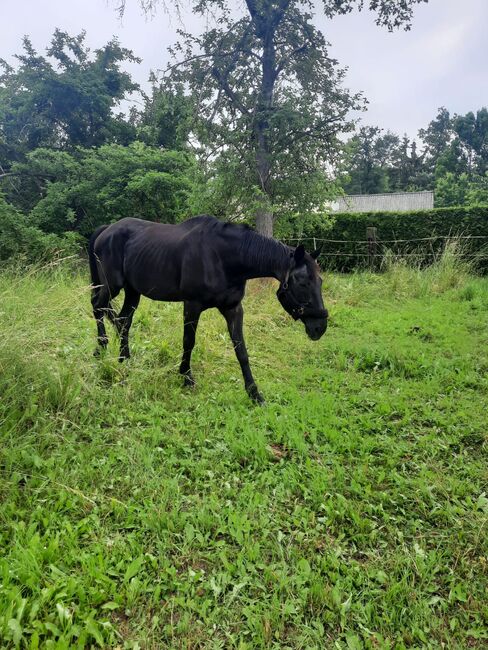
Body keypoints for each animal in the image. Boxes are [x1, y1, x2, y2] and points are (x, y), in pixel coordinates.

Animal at [89, 215, 330, 400]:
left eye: (320, 281)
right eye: (302, 283)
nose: (320, 327)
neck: (223, 258)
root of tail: (106, 230)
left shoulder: (233, 308)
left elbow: (241, 350)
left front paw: (254, 393)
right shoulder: (192, 305)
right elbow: (189, 341)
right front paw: (186, 377)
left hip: (132, 291)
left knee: (123, 320)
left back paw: (124, 359)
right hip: (112, 285)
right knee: (98, 307)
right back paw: (100, 348)